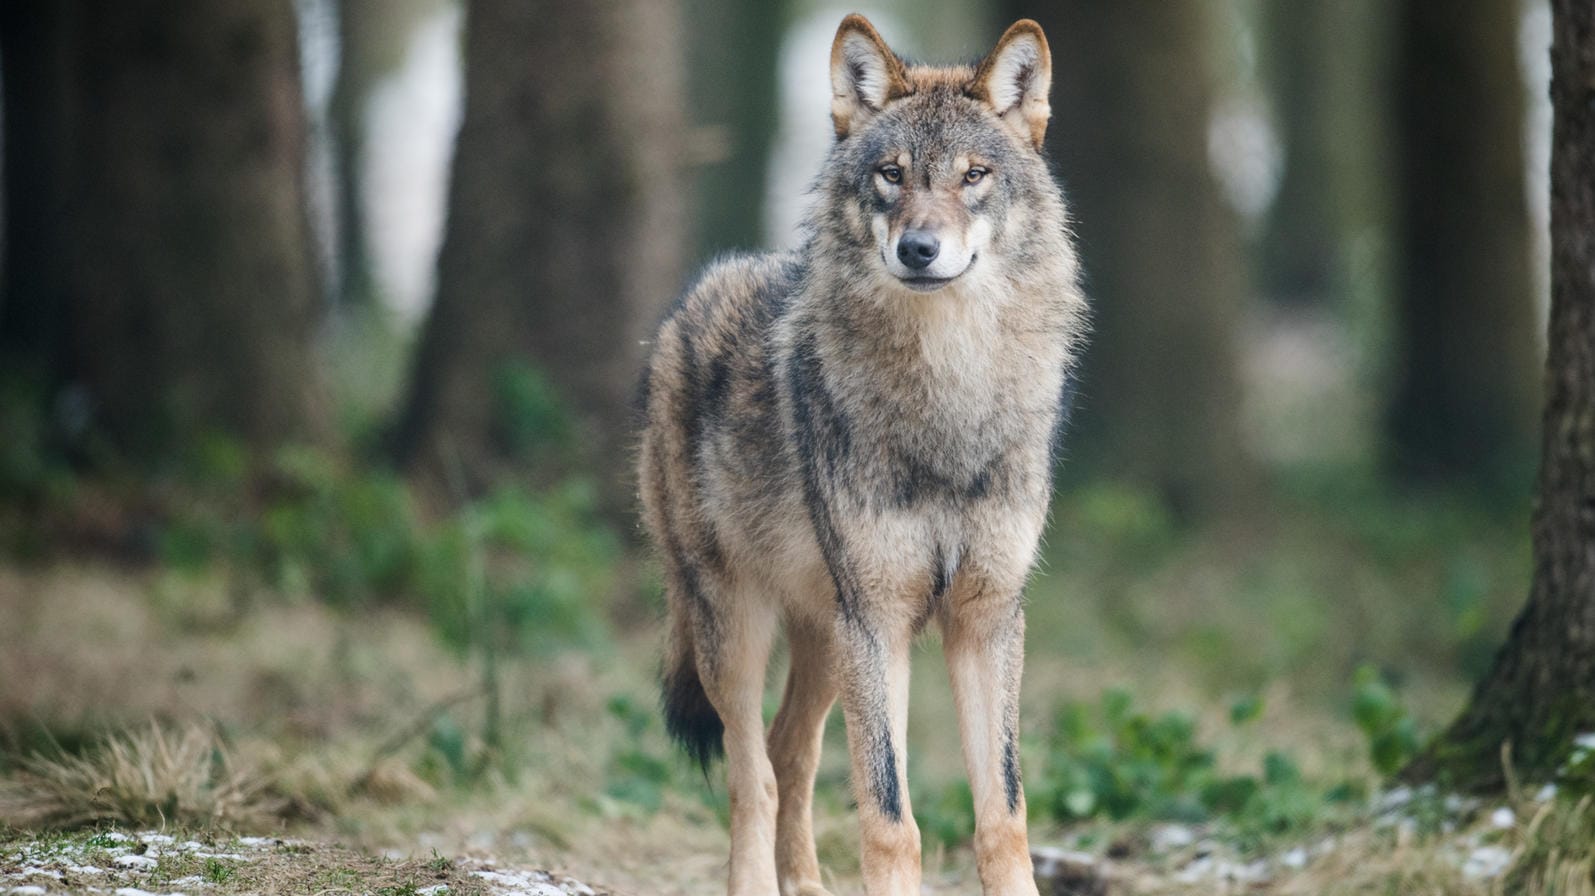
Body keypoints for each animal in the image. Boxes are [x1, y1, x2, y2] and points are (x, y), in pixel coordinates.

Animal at [634, 13, 1084, 892]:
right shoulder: (876, 619)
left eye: (973, 175)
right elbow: (889, 818)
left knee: (792, 754)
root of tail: (683, 307)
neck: (948, 399)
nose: (918, 248)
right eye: (890, 174)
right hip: (739, 627)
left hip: (821, 636)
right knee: (752, 777)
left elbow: (1003, 815)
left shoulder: (986, 620)